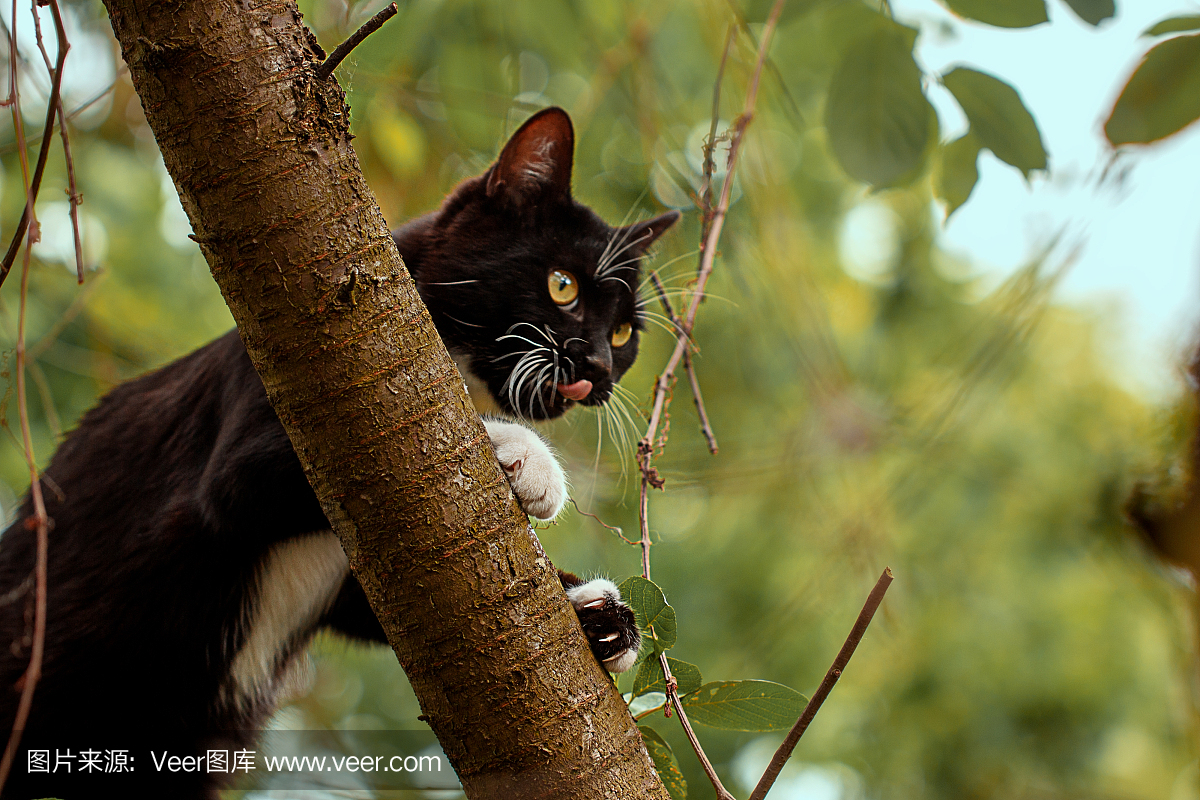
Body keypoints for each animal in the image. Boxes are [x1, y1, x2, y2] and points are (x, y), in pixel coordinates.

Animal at [0, 107, 681, 800]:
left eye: (622, 333)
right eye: (561, 286)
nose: (597, 368)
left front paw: (600, 617)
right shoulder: (255, 431)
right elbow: (302, 466)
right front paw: (530, 458)